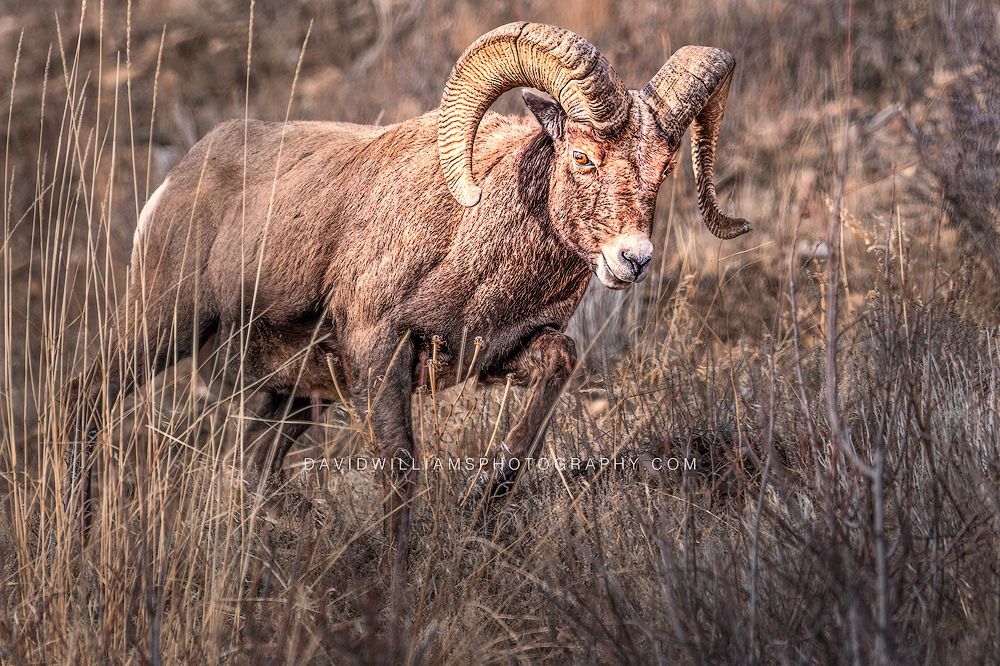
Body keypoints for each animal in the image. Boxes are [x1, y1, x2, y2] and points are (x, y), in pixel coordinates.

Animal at [64, 23, 749, 554]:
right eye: (581, 157)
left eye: (664, 168)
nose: (632, 260)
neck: (470, 243)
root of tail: (174, 186)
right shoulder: (380, 351)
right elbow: (398, 475)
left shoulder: (498, 354)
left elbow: (557, 368)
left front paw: (481, 501)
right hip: (162, 329)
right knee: (86, 396)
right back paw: (80, 542)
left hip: (295, 396)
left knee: (254, 470)